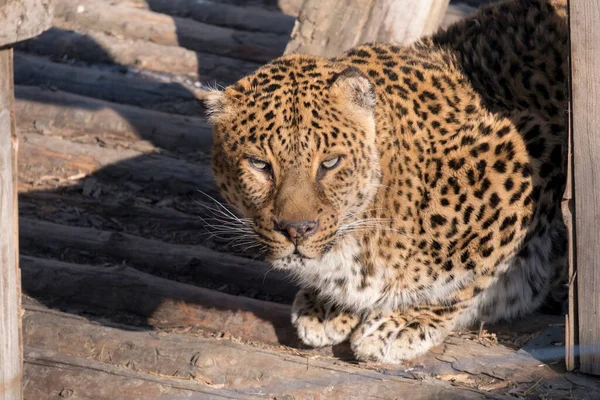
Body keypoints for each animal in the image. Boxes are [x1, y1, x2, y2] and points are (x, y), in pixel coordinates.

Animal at [205, 0, 568, 364]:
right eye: (260, 165)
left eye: (330, 163)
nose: (296, 230)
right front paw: (327, 306)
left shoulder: (530, 151)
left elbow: (469, 280)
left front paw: (403, 321)